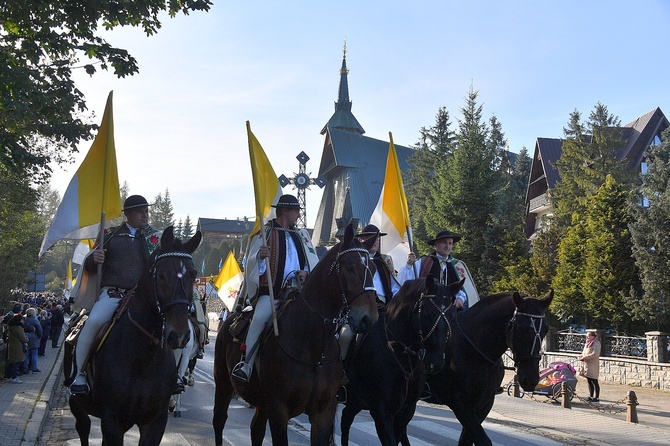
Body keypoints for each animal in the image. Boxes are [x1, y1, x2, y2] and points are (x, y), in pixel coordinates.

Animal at [66, 226, 203, 446]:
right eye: (162, 275)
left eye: (193, 274)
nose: (180, 335)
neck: (143, 357)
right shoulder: (112, 421)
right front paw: (96, 256)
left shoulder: (155, 421)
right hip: (76, 403)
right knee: (83, 428)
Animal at [215, 223, 384, 446]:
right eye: (349, 267)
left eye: (373, 269)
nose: (368, 318)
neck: (313, 346)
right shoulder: (279, 409)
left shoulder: (323, 412)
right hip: (224, 384)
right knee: (219, 419)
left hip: (261, 402)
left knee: (256, 429)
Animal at [428, 290, 552, 444]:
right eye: (521, 327)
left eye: (546, 329)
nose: (530, 379)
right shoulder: (459, 402)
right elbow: (483, 440)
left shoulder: (484, 403)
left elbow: (467, 439)